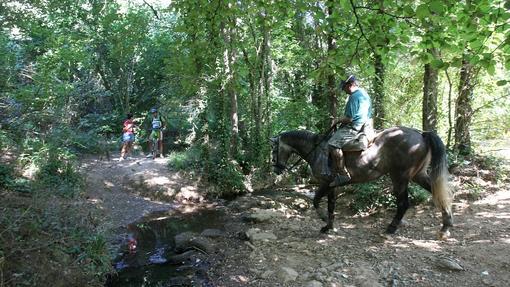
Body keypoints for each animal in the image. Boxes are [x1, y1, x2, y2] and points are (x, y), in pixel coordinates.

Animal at [270, 127, 454, 240]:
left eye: (273, 149)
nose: (276, 169)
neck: (316, 150)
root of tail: (421, 135)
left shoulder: (325, 183)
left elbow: (315, 200)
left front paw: (323, 220)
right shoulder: (332, 186)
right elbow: (331, 205)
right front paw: (328, 226)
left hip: (399, 177)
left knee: (403, 204)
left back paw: (391, 228)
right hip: (418, 175)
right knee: (436, 192)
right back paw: (445, 226)